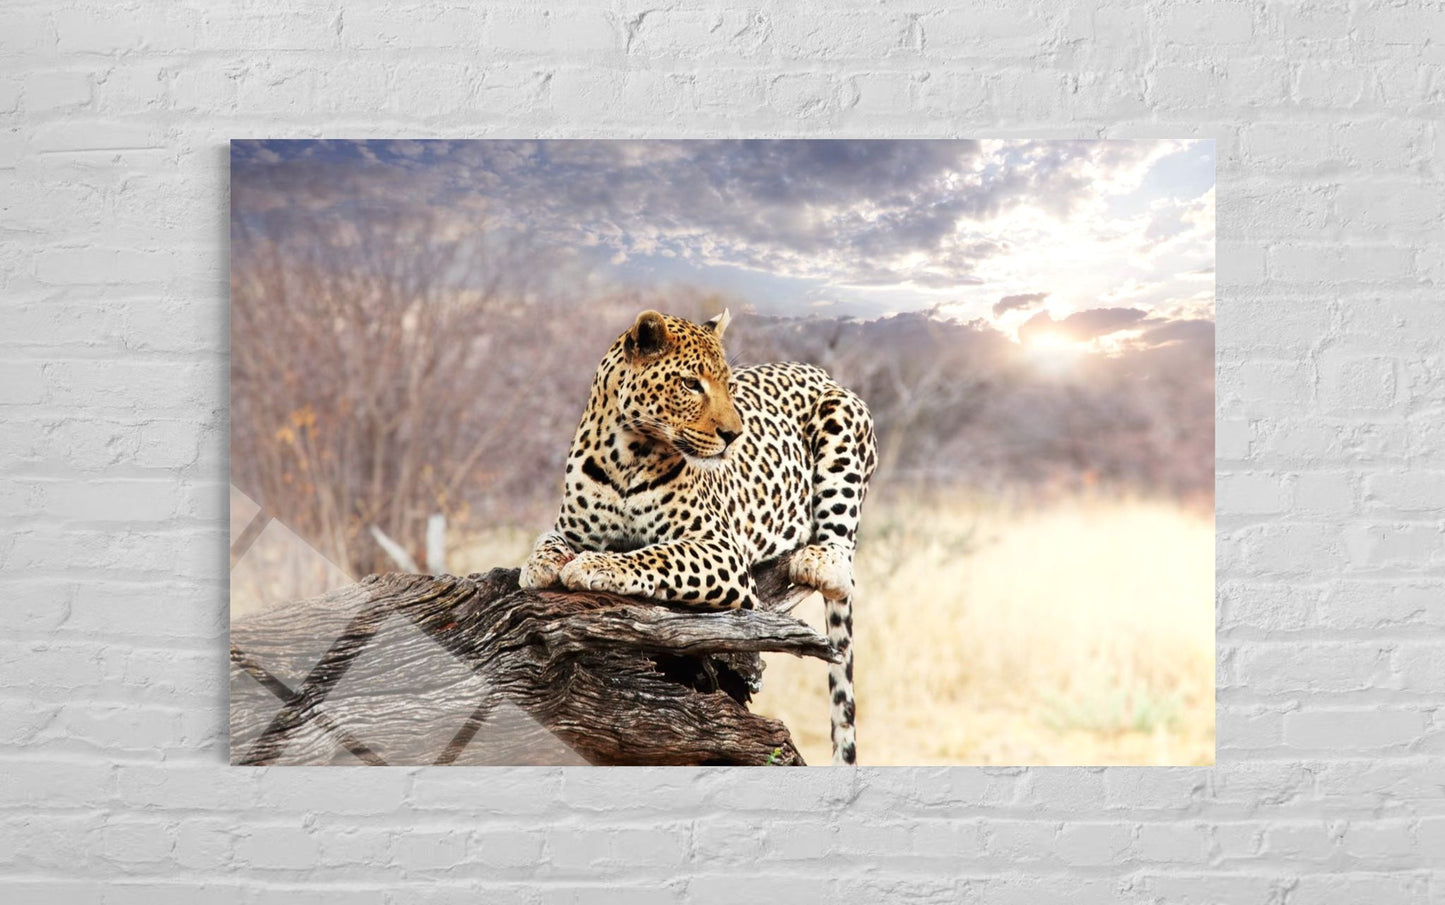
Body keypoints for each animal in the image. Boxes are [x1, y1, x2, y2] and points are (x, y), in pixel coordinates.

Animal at [520, 309, 878, 765]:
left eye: (728, 385)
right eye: (691, 384)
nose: (734, 435)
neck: (626, 454)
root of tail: (819, 371)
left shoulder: (720, 549)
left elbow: (655, 555)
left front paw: (594, 566)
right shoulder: (569, 527)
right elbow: (548, 540)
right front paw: (539, 565)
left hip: (843, 417)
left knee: (841, 559)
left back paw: (818, 559)